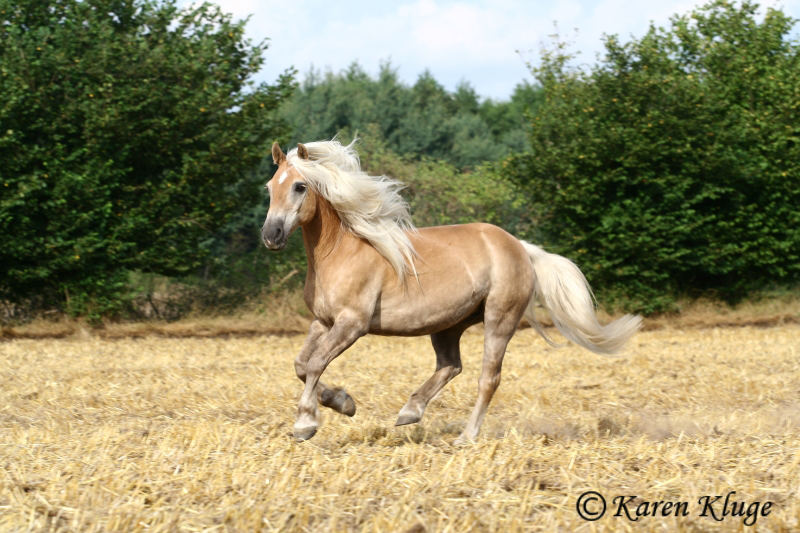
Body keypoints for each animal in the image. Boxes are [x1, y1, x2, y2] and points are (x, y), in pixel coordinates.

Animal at [262, 139, 644, 442]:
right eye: (269, 188)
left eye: (299, 186)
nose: (271, 235)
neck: (341, 251)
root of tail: (519, 247)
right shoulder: (323, 322)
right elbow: (301, 364)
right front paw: (345, 403)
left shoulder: (352, 324)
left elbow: (315, 364)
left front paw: (305, 424)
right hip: (448, 325)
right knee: (451, 366)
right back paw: (410, 411)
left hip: (499, 320)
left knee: (487, 378)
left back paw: (466, 436)